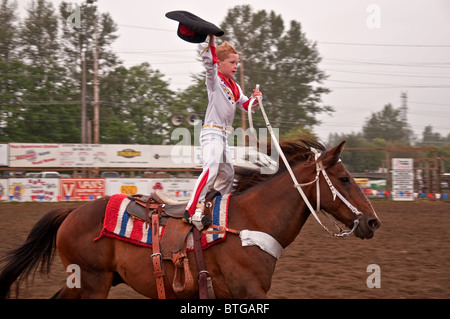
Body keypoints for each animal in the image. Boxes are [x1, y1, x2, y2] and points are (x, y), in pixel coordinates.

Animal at [0, 138, 380, 300]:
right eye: (345, 178)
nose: (373, 222)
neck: (248, 223)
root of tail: (72, 212)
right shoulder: (248, 289)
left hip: (88, 281)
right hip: (93, 283)